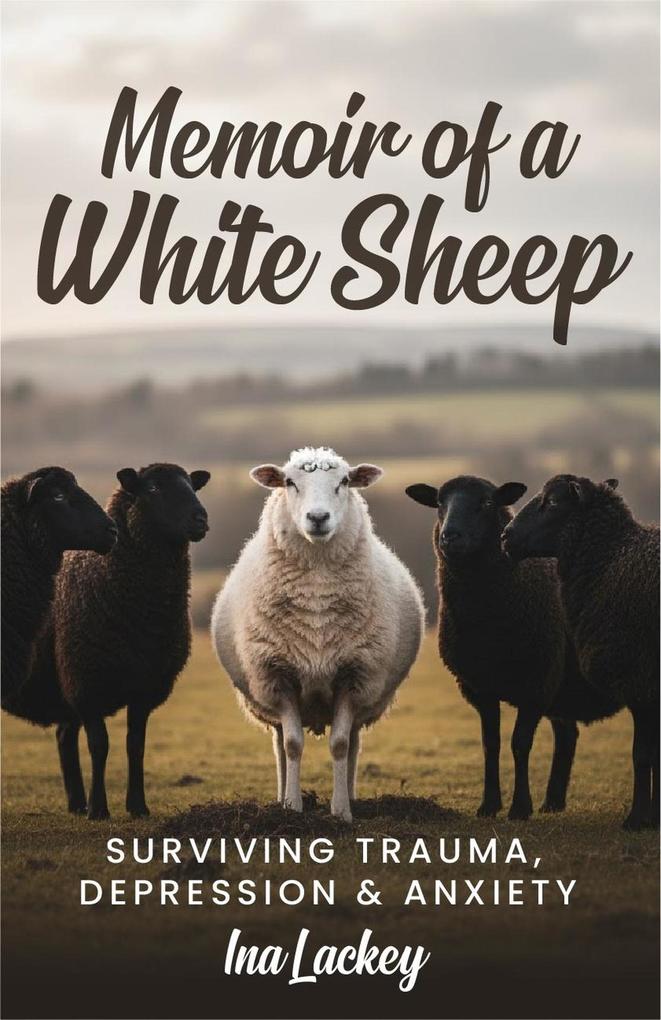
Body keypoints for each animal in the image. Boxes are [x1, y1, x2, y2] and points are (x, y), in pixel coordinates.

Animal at [24, 463, 210, 819]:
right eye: (152, 488)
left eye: (192, 486)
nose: (200, 518)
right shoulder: (86, 684)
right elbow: (100, 745)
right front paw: (99, 809)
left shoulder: (146, 688)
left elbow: (135, 745)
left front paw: (137, 806)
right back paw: (83, 805)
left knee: (64, 735)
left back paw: (76, 803)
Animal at [211, 446, 424, 822]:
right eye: (289, 482)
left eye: (344, 482)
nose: (318, 517)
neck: (317, 594)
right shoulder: (278, 676)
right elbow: (293, 745)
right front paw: (293, 808)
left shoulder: (354, 676)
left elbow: (340, 745)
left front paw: (341, 812)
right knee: (280, 744)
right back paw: (281, 798)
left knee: (352, 743)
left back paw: (351, 796)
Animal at [406, 475, 622, 820]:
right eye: (439, 503)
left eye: (486, 503)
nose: (450, 536)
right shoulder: (479, 687)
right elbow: (490, 743)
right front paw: (489, 805)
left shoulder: (537, 683)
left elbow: (520, 743)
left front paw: (520, 807)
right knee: (567, 734)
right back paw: (553, 802)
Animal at [502, 474, 659, 830]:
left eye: (553, 502)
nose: (505, 536)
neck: (610, 558)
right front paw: (652, 816)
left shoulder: (638, 677)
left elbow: (642, 754)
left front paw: (637, 819)